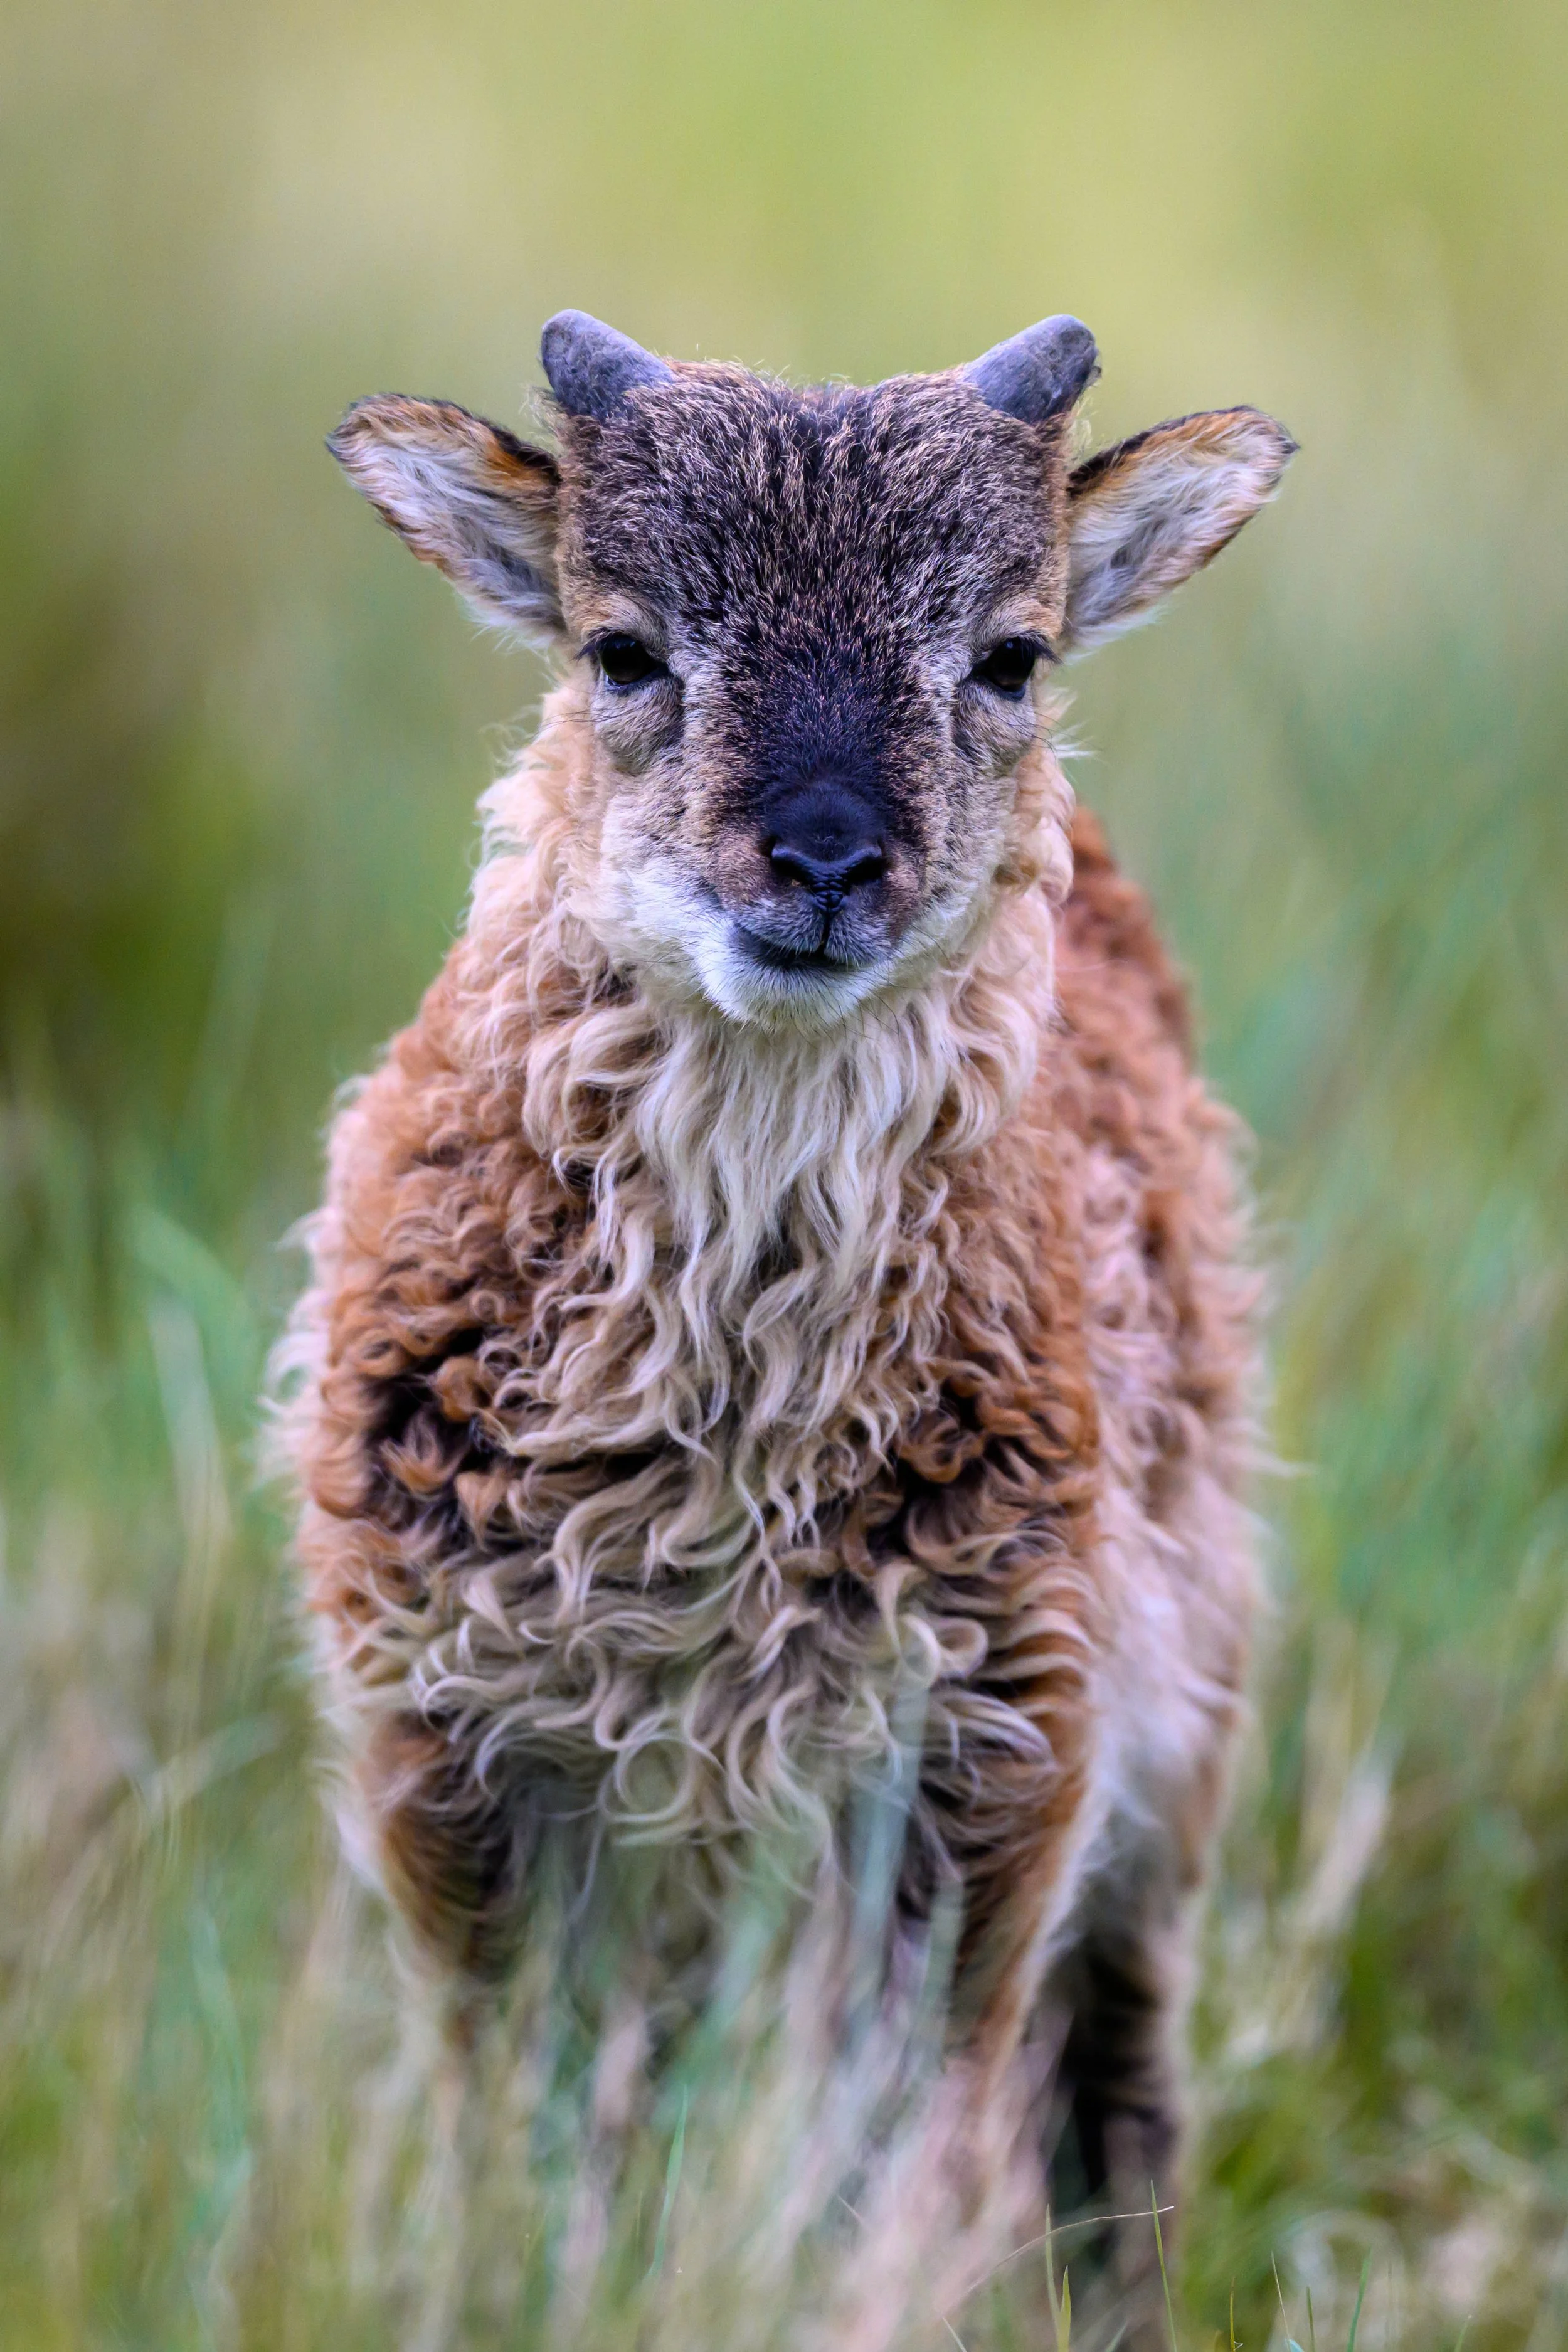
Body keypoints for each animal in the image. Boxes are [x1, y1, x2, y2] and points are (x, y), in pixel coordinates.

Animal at [282, 308, 1293, 2330]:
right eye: (620, 645)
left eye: (1008, 652)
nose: (823, 862)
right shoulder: (454, 1753)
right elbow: (515, 2116)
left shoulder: (986, 1756)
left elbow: (900, 2143)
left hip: (1179, 1735)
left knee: (1112, 2089)